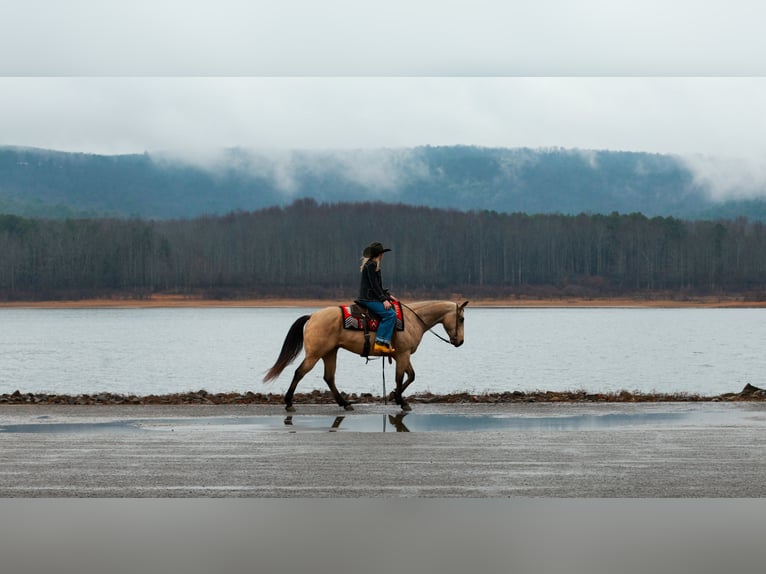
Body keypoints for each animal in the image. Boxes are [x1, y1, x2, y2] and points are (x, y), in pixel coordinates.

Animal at [263, 300, 468, 412]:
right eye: (462, 318)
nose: (460, 342)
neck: (413, 320)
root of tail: (312, 316)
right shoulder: (403, 354)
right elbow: (401, 377)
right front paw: (401, 401)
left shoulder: (402, 355)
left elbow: (410, 376)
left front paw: (394, 395)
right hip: (315, 353)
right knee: (300, 372)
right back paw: (289, 402)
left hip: (330, 352)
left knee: (329, 377)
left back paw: (345, 403)